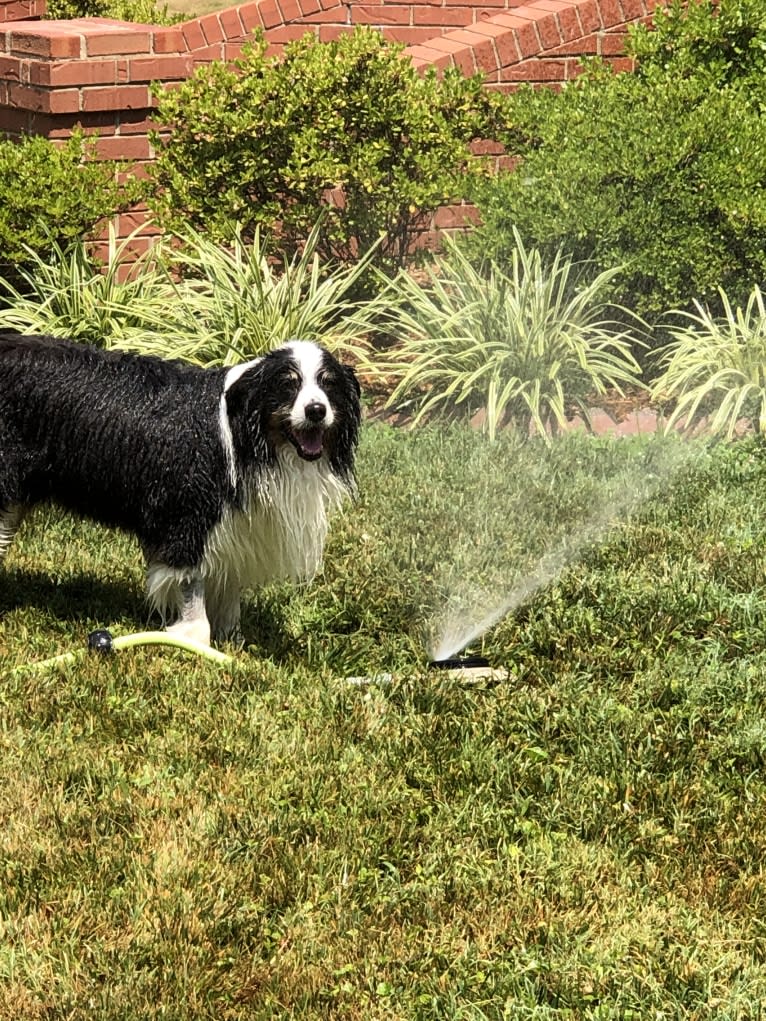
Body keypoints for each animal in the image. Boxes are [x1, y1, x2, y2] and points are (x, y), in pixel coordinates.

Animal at [0, 334, 363, 645]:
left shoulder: (237, 526)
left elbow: (229, 588)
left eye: (328, 383)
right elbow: (191, 585)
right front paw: (192, 640)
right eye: (288, 384)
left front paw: (233, 642)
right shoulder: (186, 515)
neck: (245, 435)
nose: (316, 410)